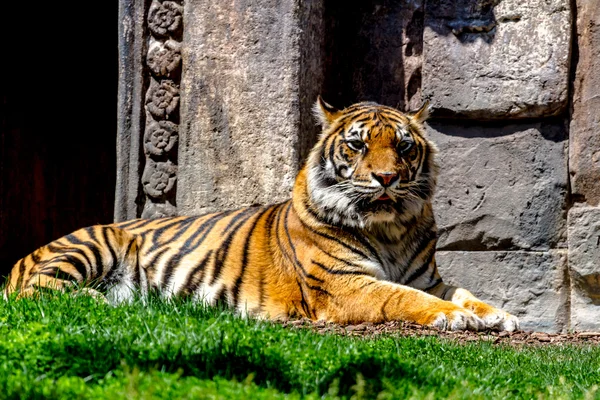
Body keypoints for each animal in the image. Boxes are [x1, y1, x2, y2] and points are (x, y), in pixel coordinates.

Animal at [3, 97, 520, 332]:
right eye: (357, 145)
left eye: (404, 147)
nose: (387, 178)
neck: (391, 227)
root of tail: (18, 260)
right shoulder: (343, 285)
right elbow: (402, 298)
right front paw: (456, 318)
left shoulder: (428, 276)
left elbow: (464, 292)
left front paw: (498, 314)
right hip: (95, 245)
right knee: (38, 293)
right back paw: (97, 300)